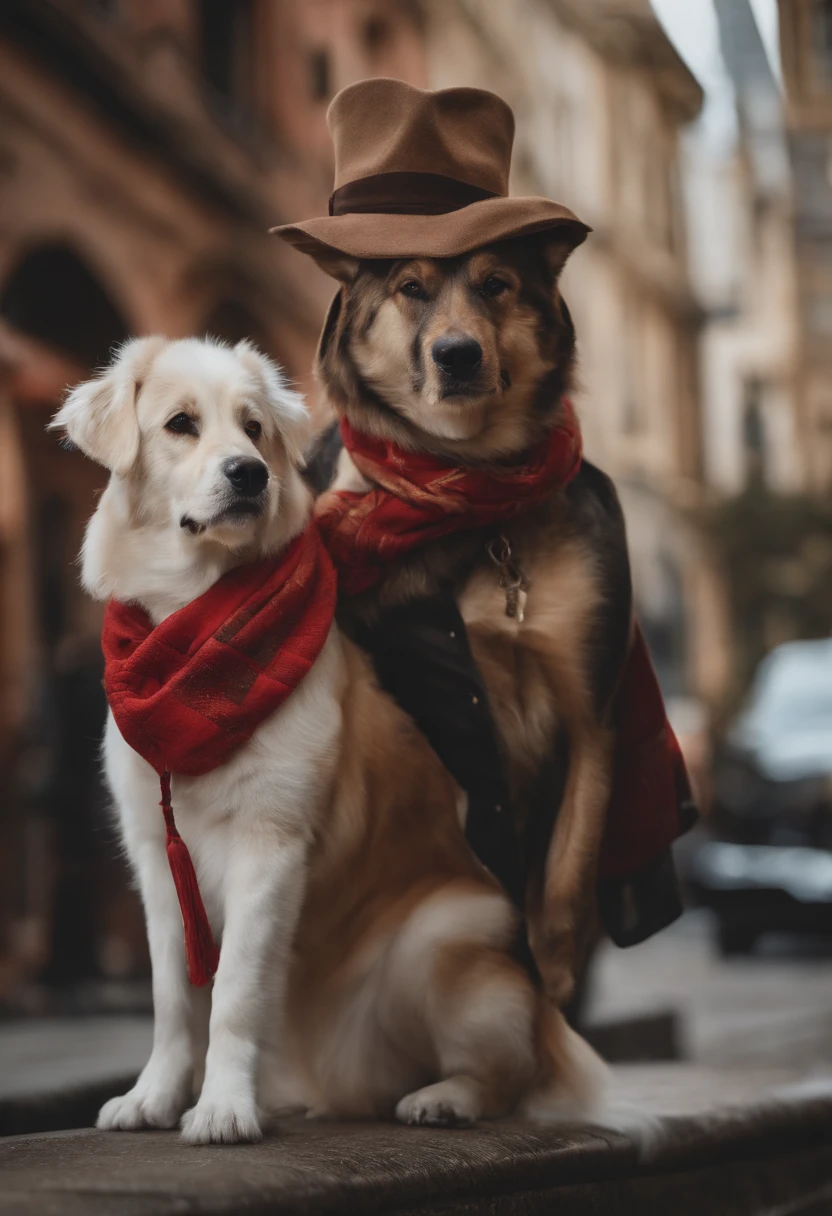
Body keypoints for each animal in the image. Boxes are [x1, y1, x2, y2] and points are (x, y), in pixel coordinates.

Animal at [55, 338, 608, 1143]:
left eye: (254, 429)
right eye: (180, 424)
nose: (249, 473)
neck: (198, 629)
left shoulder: (271, 844)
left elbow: (233, 994)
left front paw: (222, 1107)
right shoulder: (159, 862)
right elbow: (173, 998)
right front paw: (154, 1097)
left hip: (441, 943)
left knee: (509, 1072)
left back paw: (444, 1099)